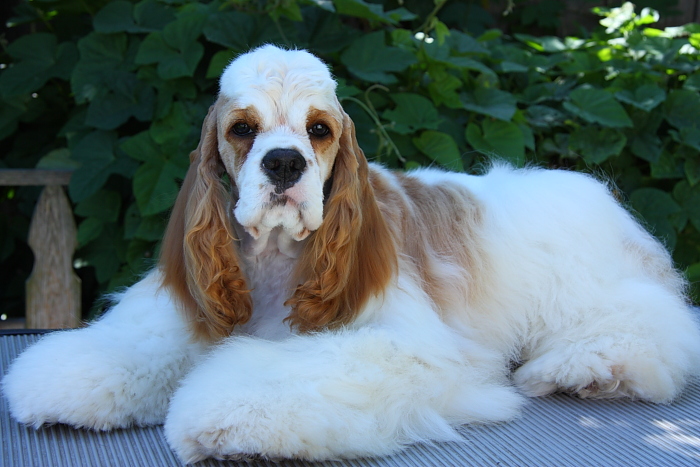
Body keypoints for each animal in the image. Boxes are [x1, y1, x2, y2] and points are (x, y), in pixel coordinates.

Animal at [4, 45, 700, 462]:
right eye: (242, 128)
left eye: (319, 129)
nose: (285, 163)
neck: (278, 261)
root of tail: (607, 199)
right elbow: (136, 346)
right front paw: (63, 379)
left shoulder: (403, 346)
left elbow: (273, 377)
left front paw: (220, 414)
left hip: (596, 294)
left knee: (655, 329)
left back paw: (583, 369)